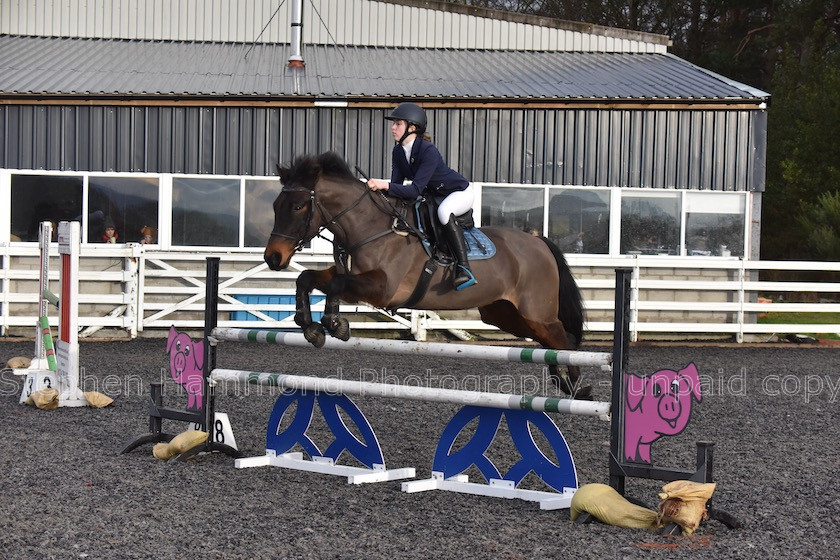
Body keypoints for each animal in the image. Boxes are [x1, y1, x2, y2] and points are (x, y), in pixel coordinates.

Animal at [264, 152, 592, 398]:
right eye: (275, 205)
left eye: (298, 206)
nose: (272, 258)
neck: (369, 227)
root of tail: (539, 242)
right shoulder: (353, 275)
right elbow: (309, 279)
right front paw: (312, 325)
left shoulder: (382, 289)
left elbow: (336, 284)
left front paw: (331, 323)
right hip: (506, 315)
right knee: (551, 342)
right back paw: (563, 381)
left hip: (536, 313)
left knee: (565, 338)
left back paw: (578, 387)